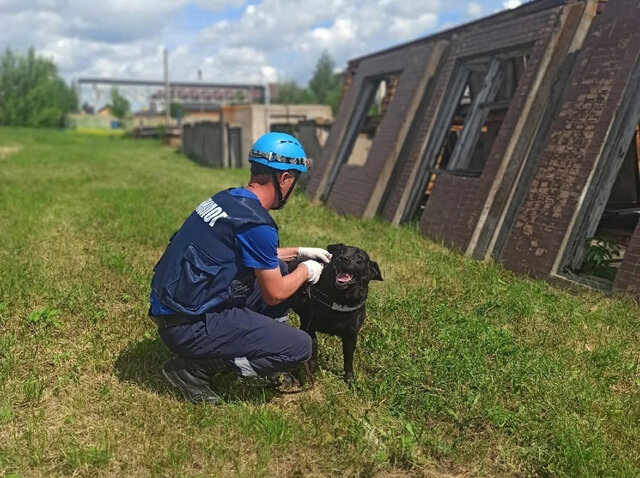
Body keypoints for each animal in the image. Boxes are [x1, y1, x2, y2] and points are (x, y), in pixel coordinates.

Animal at [292, 243, 382, 380]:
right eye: (340, 251)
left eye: (359, 257)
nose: (343, 258)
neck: (339, 299)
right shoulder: (308, 325)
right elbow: (313, 346)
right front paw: (309, 371)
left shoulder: (351, 336)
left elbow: (348, 359)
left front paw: (349, 378)